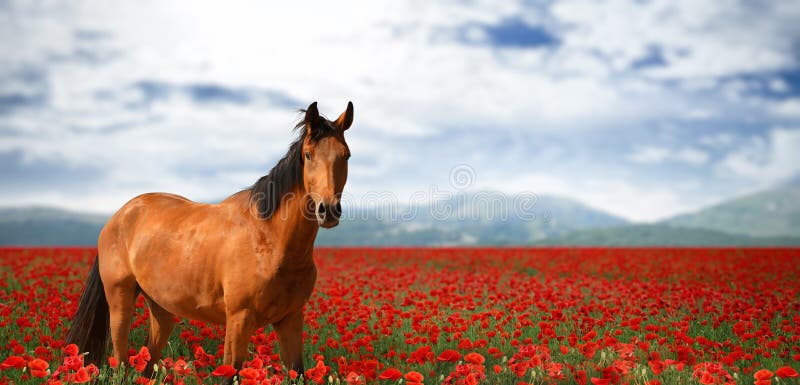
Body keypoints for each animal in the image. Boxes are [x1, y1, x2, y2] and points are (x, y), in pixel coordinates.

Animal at [67, 100, 354, 376]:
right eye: (308, 154)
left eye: (346, 155)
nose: (327, 210)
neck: (269, 241)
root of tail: (118, 216)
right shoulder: (239, 319)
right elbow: (230, 372)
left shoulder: (290, 319)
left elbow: (298, 372)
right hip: (120, 300)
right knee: (121, 361)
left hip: (161, 308)